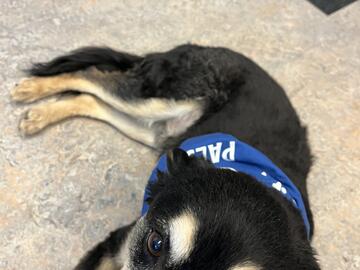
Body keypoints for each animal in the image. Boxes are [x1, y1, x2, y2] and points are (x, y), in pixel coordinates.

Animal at [11, 44, 320, 270]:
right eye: (155, 244)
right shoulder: (118, 241)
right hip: (158, 98)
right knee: (92, 76)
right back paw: (31, 89)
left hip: (154, 129)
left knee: (91, 100)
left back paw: (40, 115)